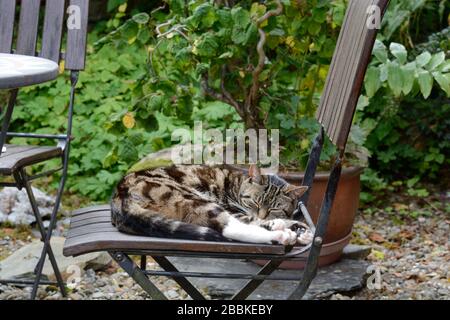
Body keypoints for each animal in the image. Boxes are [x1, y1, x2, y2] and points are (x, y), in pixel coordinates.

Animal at [110, 164, 312, 246]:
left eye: (275, 208)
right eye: (255, 201)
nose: (262, 215)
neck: (237, 184)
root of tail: (121, 194)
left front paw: (302, 231)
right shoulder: (236, 209)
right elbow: (250, 219)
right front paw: (294, 229)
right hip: (194, 197)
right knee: (230, 227)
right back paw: (280, 233)